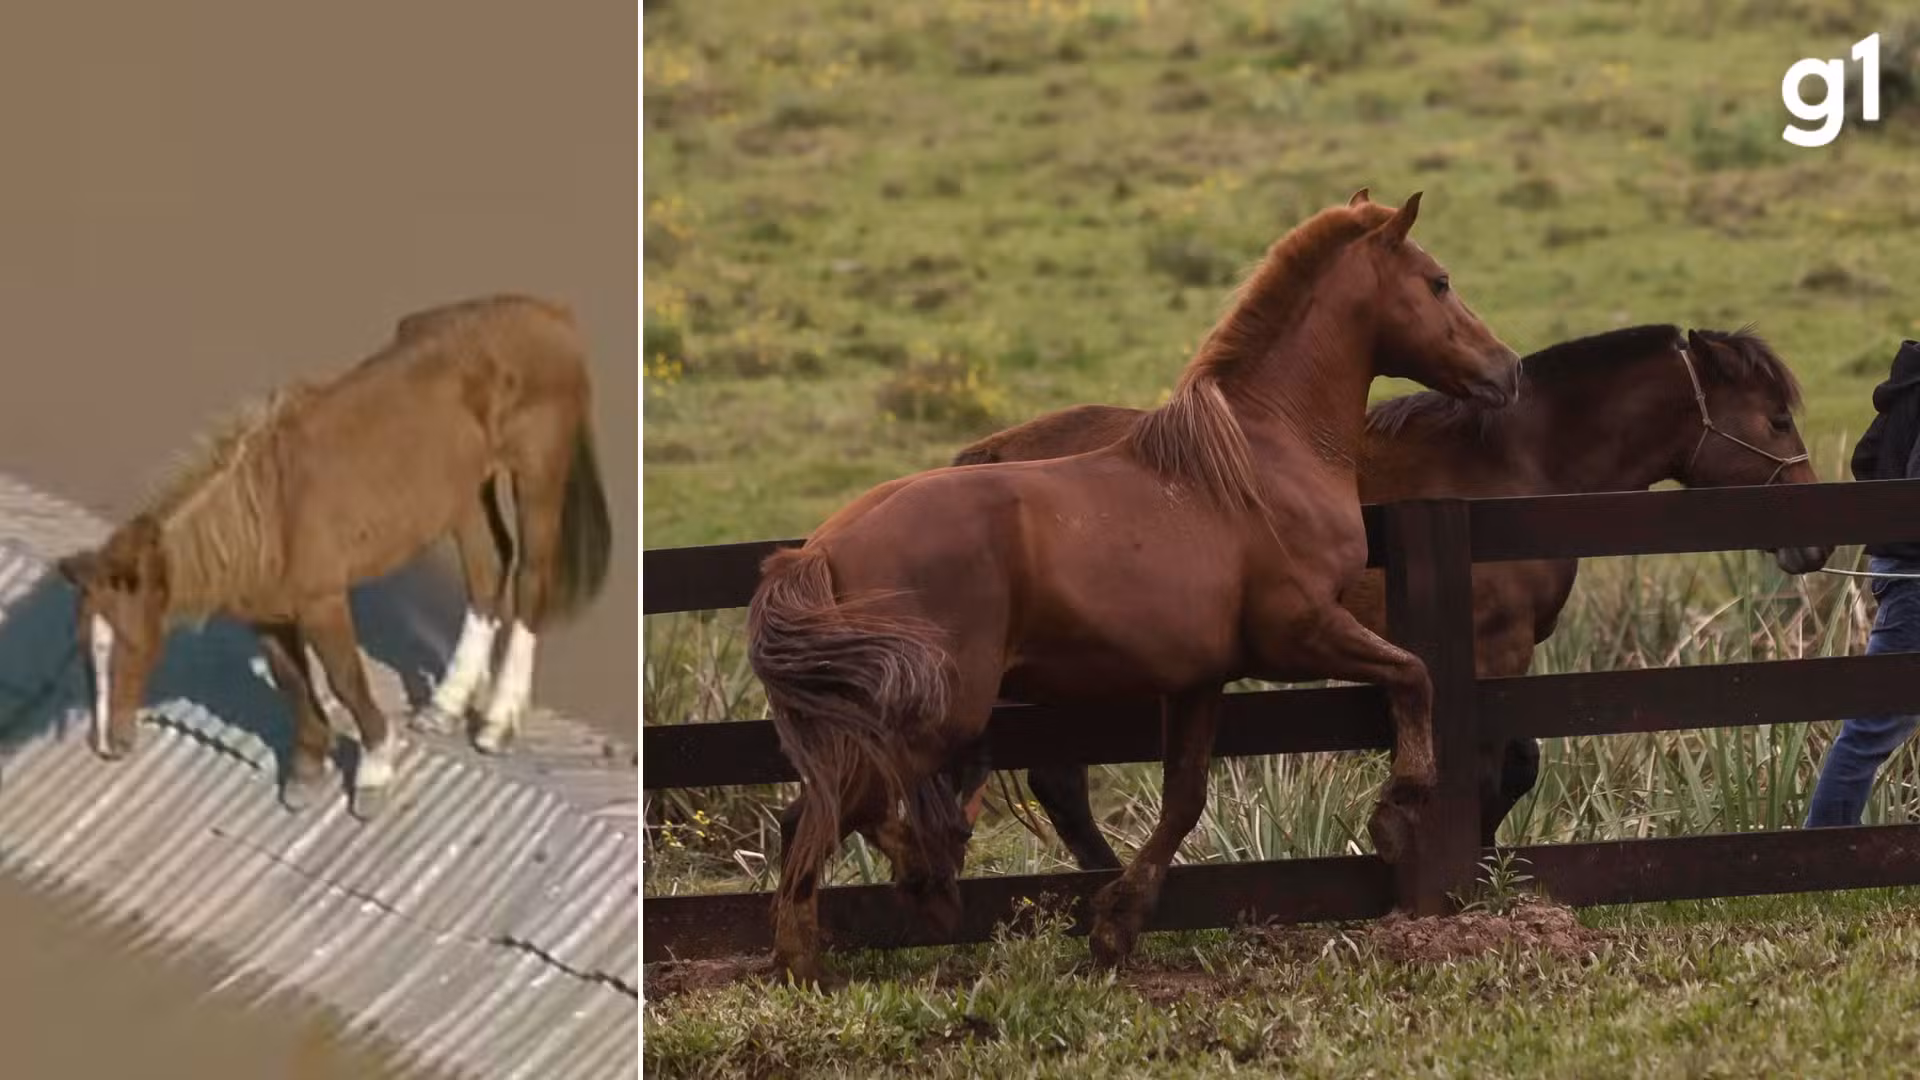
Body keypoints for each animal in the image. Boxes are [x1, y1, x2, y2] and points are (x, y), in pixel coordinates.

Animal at [56, 294, 613, 821]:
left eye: (130, 644)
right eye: (83, 647)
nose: (105, 745)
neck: (268, 517)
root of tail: (551, 315)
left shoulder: (323, 603)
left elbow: (345, 680)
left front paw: (373, 773)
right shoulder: (266, 615)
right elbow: (292, 682)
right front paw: (306, 770)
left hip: (537, 477)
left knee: (531, 580)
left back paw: (496, 724)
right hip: (465, 494)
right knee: (487, 571)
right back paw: (445, 705)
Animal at [747, 190, 1522, 982]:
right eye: (1438, 282)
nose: (1507, 370)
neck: (1264, 457)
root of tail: (820, 551)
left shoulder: (1200, 679)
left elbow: (1184, 800)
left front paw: (1117, 925)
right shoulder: (1301, 635)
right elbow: (1415, 674)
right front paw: (1398, 808)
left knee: (814, 812)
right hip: (939, 715)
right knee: (831, 815)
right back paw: (857, 929)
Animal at [947, 322, 1831, 871]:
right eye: (1776, 420)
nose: (1814, 539)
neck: (1511, 466)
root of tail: (991, 456)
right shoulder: (1494, 648)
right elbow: (1504, 764)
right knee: (1058, 781)